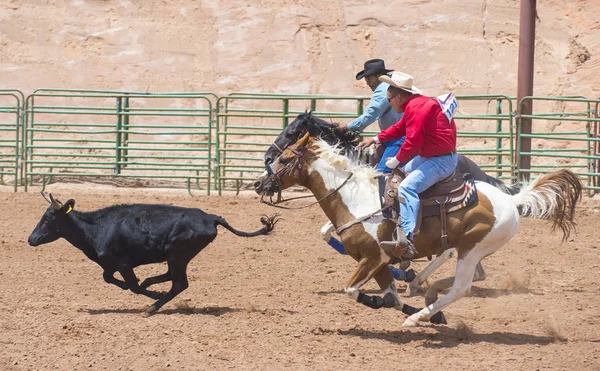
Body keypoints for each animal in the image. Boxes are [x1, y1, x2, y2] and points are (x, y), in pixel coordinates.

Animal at [28, 193, 278, 316]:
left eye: (48, 219)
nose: (31, 239)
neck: (96, 227)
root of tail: (211, 217)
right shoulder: (109, 264)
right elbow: (109, 278)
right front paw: (145, 288)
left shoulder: (124, 264)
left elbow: (133, 286)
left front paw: (151, 295)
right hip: (177, 256)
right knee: (172, 278)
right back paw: (151, 284)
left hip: (178, 253)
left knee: (179, 283)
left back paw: (152, 307)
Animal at [253, 135, 580, 326]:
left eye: (284, 159)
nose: (258, 183)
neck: (356, 199)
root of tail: (512, 200)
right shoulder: (379, 263)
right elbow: (391, 298)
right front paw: (410, 304)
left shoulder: (372, 258)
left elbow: (352, 291)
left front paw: (391, 304)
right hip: (471, 250)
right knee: (474, 276)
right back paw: (428, 296)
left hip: (472, 249)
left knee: (462, 287)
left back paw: (422, 310)